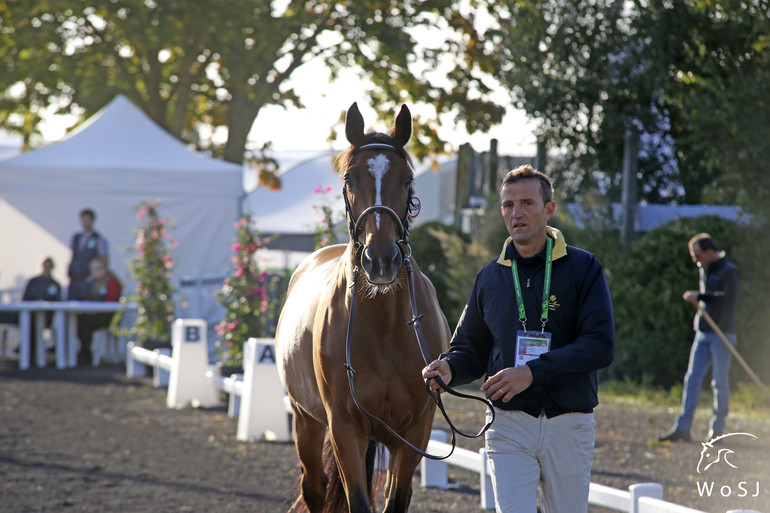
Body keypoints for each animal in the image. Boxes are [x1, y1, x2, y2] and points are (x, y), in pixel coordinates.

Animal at [274, 103, 450, 512]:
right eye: (350, 179)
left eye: (407, 180)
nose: (380, 260)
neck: (383, 327)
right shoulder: (345, 425)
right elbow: (356, 499)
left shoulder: (415, 430)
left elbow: (396, 500)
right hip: (305, 421)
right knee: (315, 487)